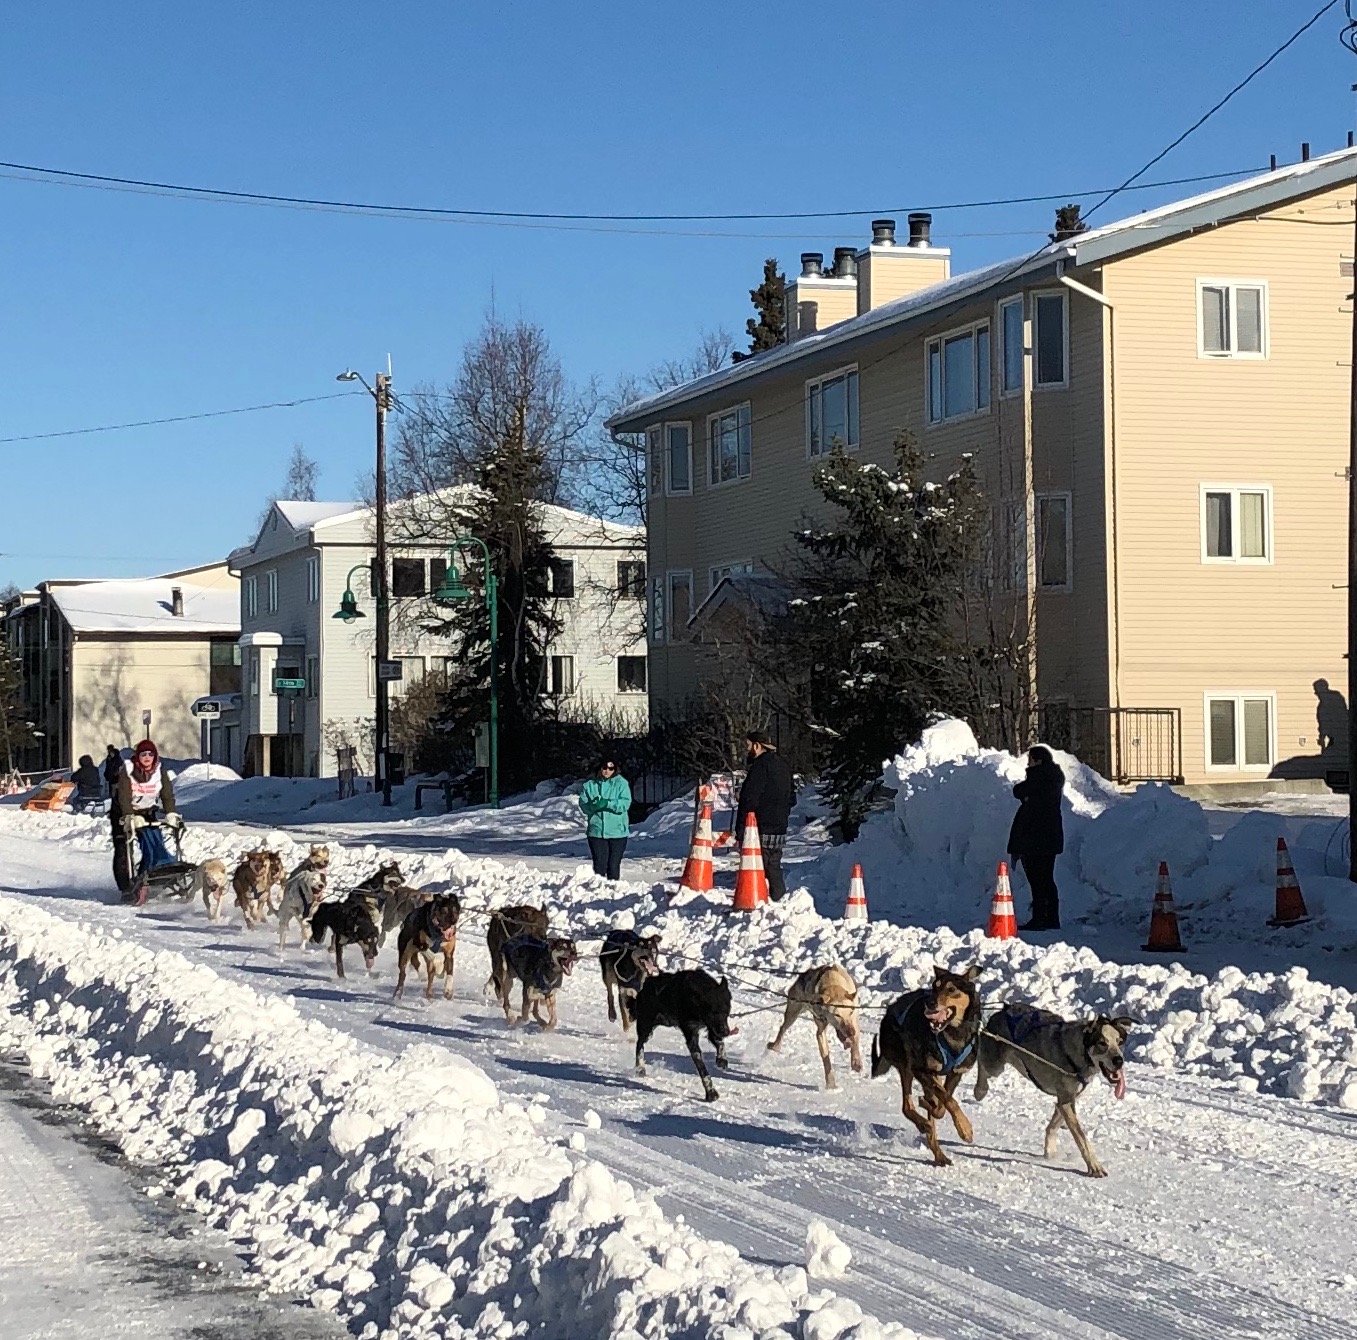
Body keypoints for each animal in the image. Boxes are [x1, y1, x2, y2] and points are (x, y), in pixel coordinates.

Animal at [633, 970, 738, 1102]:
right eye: (713, 1012)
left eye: (726, 1011)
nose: (726, 1032)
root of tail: (647, 984)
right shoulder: (692, 1034)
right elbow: (701, 1067)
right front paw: (710, 1092)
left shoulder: (711, 1028)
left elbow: (720, 1043)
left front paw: (721, 1059)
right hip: (646, 1026)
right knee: (639, 1044)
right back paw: (640, 1067)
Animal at [871, 964, 982, 1167]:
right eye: (934, 987)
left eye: (951, 989)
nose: (929, 1003)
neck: (953, 1033)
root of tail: (890, 1010)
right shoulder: (921, 1069)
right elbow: (950, 1102)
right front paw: (965, 1129)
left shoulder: (955, 1073)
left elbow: (944, 1104)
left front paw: (932, 1106)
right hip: (906, 1064)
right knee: (907, 1107)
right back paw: (924, 1123)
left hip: (930, 1074)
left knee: (930, 1107)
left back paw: (939, 1153)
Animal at [974, 1003, 1134, 1178]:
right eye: (1102, 1043)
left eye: (1120, 1042)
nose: (1119, 1060)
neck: (1079, 1052)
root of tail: (1002, 1010)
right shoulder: (1066, 1101)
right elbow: (1081, 1137)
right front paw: (1094, 1166)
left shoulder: (1066, 1100)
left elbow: (1053, 1126)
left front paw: (1049, 1152)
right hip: (994, 1065)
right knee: (981, 1062)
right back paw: (979, 1090)